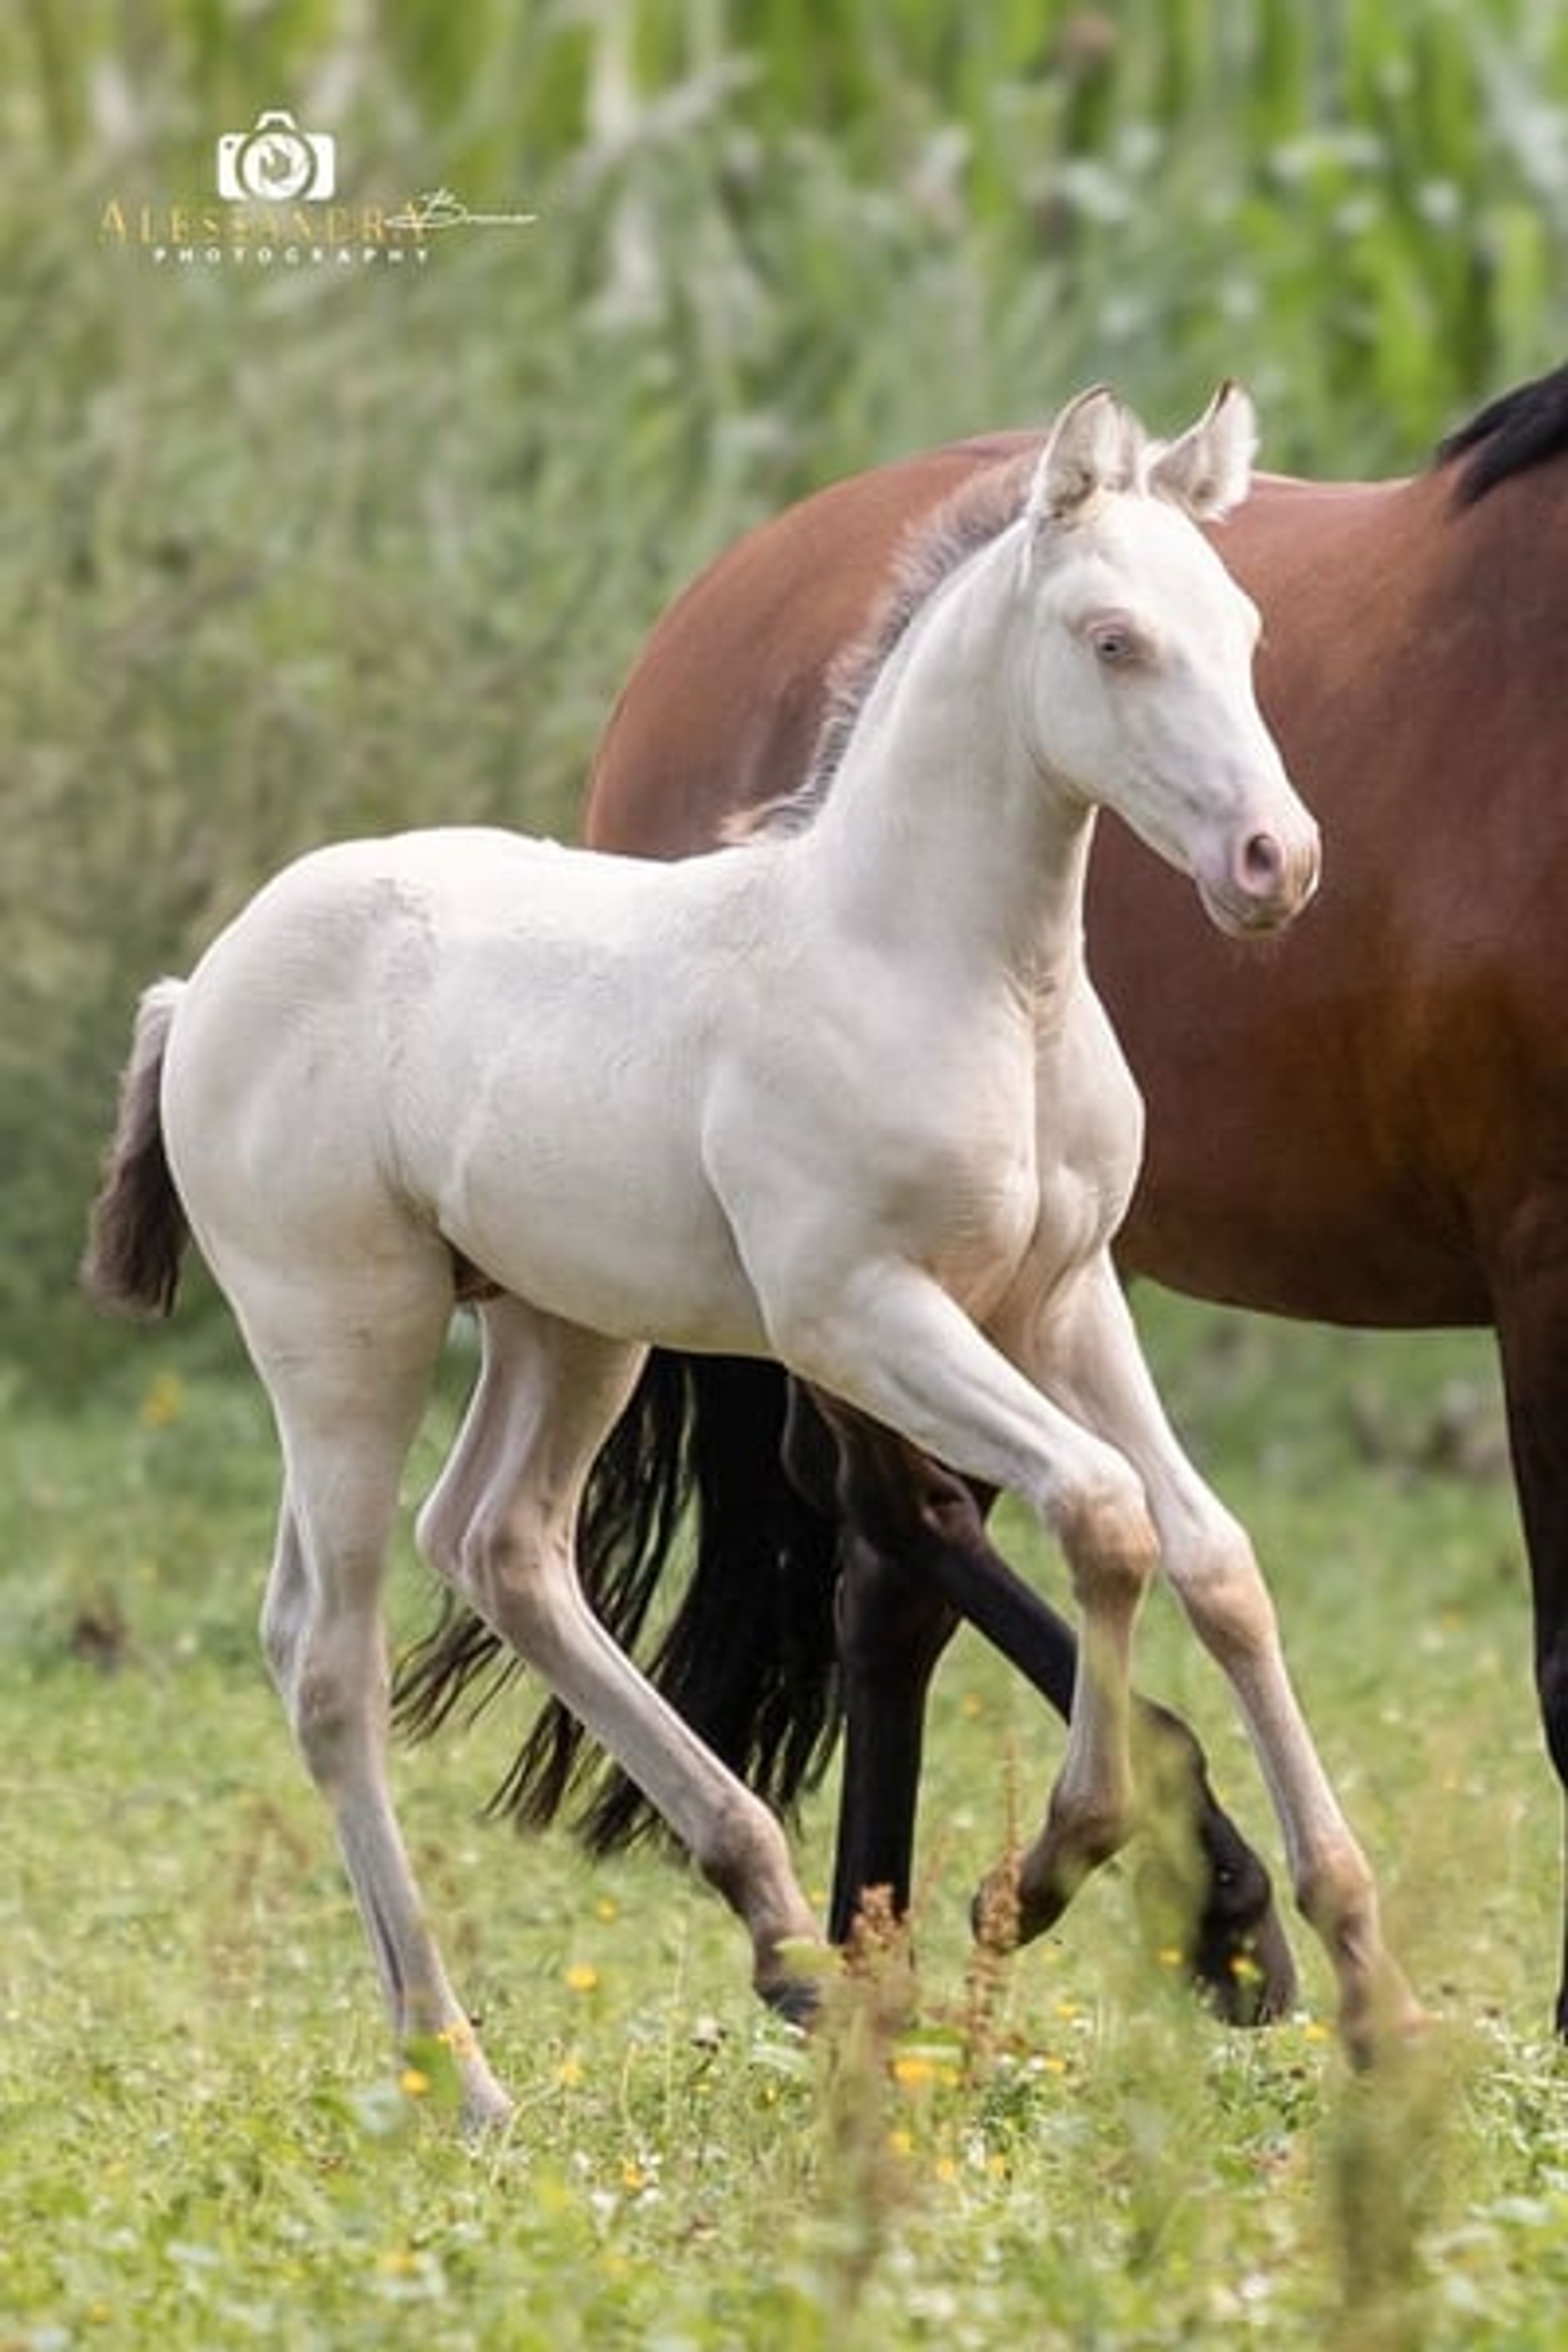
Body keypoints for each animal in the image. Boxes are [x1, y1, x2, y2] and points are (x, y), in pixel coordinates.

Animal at [85, 385, 1411, 2127]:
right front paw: (1051, 1870)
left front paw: (1368, 1980)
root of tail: (202, 986)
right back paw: (463, 2072)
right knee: (328, 1656)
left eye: (1249, 632)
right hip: (343, 1333)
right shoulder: (859, 1314)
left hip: (565, 1324)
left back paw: (780, 1928)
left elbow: (1216, 1559)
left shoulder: (1061, 1298)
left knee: (502, 1542)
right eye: (1114, 639)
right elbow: (1104, 1514)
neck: (959, 973)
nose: (1277, 863)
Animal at [397, 360, 1568, 2042]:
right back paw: (1030, 1921)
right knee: (900, 1536)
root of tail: (704, 614)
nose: (1277, 861)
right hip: (843, 1317)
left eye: (1251, 635)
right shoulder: (1536, 1259)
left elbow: (1209, 1556)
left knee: (888, 1564)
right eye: (1113, 642)